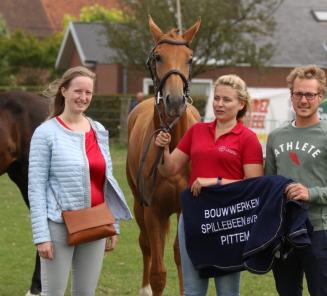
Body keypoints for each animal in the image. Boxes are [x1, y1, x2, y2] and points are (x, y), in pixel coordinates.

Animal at [127, 17, 201, 294]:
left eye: (189, 59)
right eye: (158, 57)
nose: (175, 101)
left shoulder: (185, 209)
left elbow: (182, 258)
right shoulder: (153, 212)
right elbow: (159, 272)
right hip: (138, 204)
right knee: (145, 245)